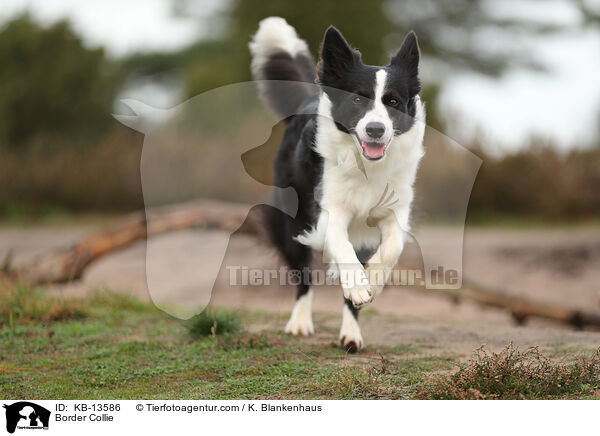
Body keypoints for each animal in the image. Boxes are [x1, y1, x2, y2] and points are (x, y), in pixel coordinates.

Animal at [248, 17, 426, 352]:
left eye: (393, 102)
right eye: (357, 99)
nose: (375, 129)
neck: (366, 166)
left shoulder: (394, 211)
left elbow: (392, 247)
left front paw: (371, 282)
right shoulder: (329, 210)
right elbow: (340, 244)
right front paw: (357, 284)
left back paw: (351, 333)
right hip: (292, 223)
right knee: (303, 276)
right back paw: (300, 322)